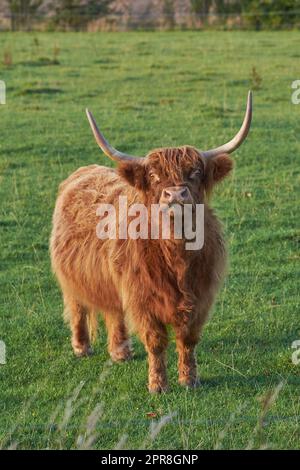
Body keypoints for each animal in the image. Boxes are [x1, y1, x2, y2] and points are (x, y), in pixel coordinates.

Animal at [50, 90, 252, 392]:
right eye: (155, 177)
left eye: (195, 173)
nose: (176, 195)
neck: (177, 256)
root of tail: (84, 170)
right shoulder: (142, 297)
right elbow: (155, 341)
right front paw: (158, 385)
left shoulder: (200, 297)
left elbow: (188, 339)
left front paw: (189, 379)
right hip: (72, 278)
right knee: (77, 306)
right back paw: (81, 347)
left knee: (114, 312)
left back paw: (120, 352)